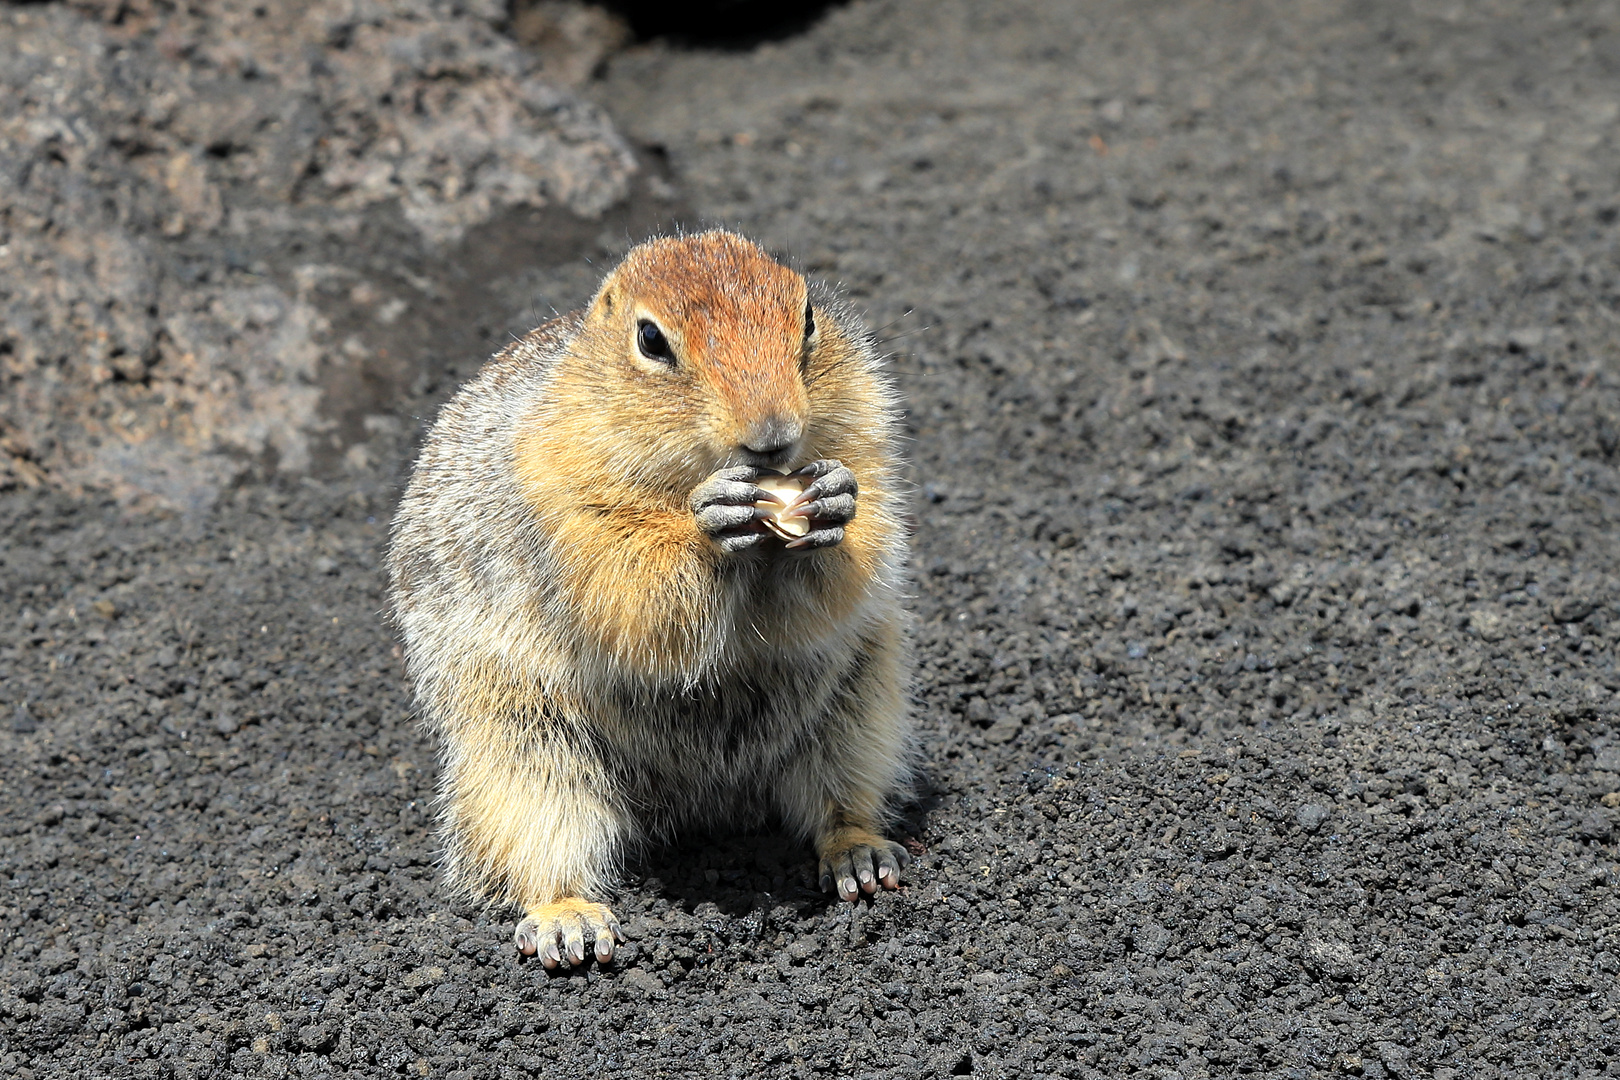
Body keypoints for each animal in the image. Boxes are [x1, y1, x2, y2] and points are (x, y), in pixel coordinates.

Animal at [380, 229, 913, 971]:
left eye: (808, 316)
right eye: (652, 341)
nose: (774, 435)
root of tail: (699, 806)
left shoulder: (869, 431)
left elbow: (852, 556)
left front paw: (833, 501)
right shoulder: (561, 486)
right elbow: (628, 581)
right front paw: (708, 525)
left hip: (859, 712)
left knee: (836, 797)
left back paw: (858, 852)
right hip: (517, 749)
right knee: (535, 838)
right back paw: (566, 917)